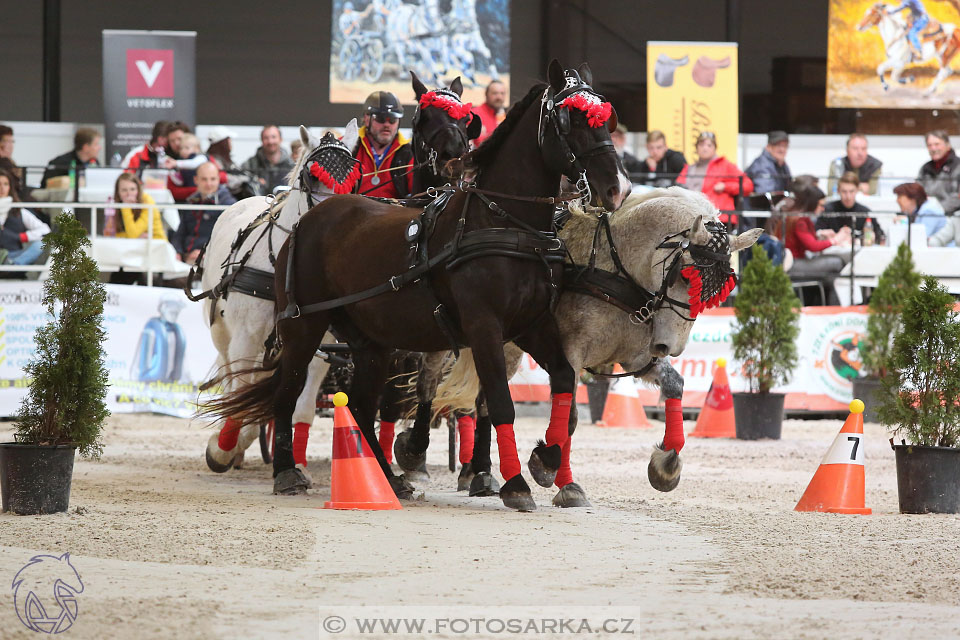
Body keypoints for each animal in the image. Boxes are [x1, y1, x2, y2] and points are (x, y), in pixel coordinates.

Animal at [207, 60, 632, 510]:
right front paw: (515, 483)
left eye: (605, 117)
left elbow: (563, 381)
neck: (504, 222)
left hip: (371, 342)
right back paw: (286, 470)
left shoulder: (530, 325)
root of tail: (307, 219)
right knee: (287, 393)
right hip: (302, 326)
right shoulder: (483, 327)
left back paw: (387, 480)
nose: (617, 187)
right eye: (569, 120)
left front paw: (544, 461)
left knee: (361, 406)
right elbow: (501, 403)